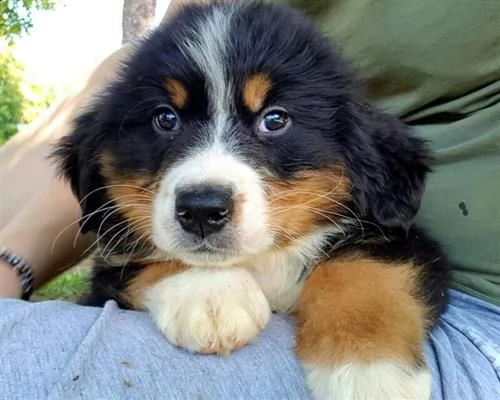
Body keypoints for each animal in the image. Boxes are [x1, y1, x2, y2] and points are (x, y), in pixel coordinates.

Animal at [53, 0, 450, 400]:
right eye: (165, 118)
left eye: (275, 119)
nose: (201, 210)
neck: (265, 259)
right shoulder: (108, 267)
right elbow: (152, 259)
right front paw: (211, 295)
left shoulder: (399, 236)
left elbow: (364, 272)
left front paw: (369, 371)